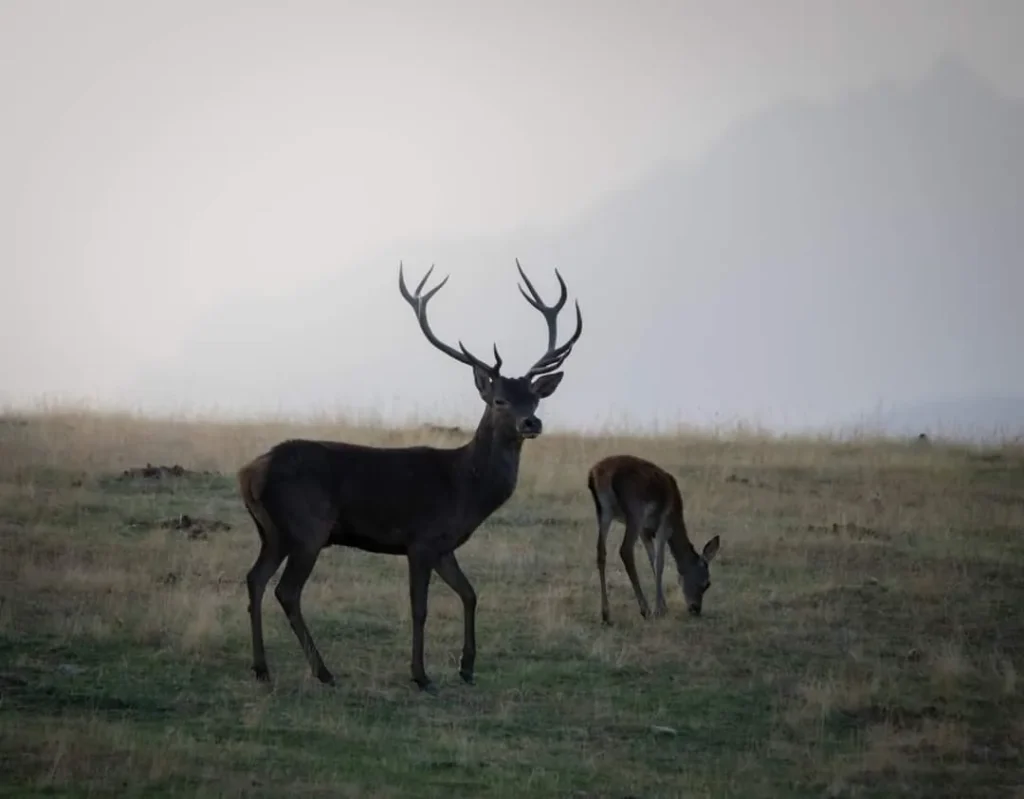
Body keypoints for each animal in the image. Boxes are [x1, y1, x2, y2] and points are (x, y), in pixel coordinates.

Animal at [238, 259, 583, 694]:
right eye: (499, 399)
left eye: (534, 398)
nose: (531, 423)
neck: (465, 489)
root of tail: (247, 473)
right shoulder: (420, 539)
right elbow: (420, 607)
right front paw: (421, 675)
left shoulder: (444, 545)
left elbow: (470, 594)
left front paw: (467, 667)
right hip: (307, 527)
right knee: (286, 590)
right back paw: (323, 671)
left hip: (273, 531)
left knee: (255, 579)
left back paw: (261, 668)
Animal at [586, 454, 721, 624]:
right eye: (707, 583)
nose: (695, 609)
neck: (676, 517)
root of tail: (597, 473)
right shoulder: (664, 525)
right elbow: (659, 562)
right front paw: (659, 609)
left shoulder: (645, 531)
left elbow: (652, 559)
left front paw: (663, 606)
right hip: (635, 511)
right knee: (625, 550)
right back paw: (645, 610)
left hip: (604, 511)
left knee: (600, 551)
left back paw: (606, 614)